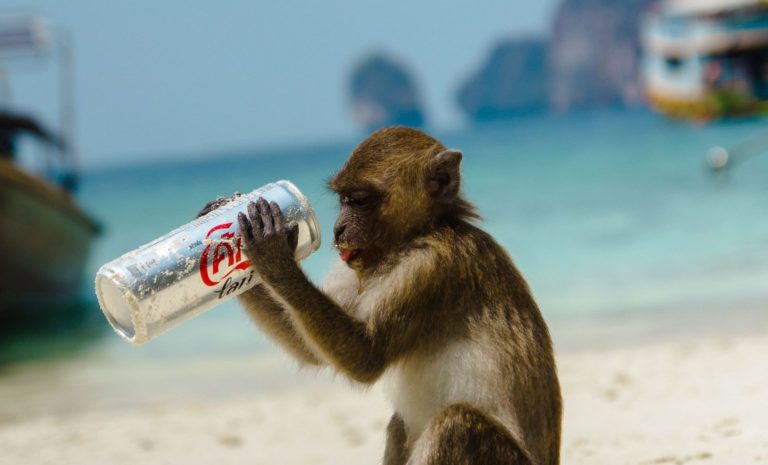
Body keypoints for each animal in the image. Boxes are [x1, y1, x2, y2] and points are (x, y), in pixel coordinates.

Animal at [198, 126, 562, 465]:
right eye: (342, 200)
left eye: (358, 200)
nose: (338, 230)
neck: (420, 234)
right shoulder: (353, 267)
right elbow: (310, 349)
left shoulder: (431, 268)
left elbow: (366, 357)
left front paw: (272, 253)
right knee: (403, 424)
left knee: (455, 423)